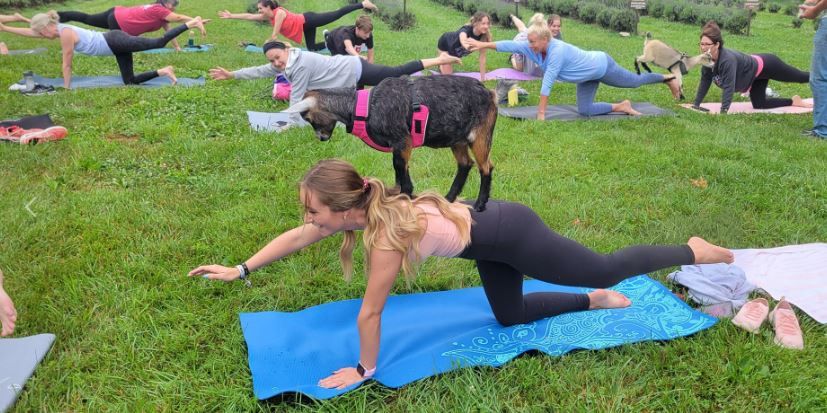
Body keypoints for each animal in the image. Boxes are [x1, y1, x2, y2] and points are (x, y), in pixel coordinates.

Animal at [288, 74, 494, 211]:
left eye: (308, 118)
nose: (321, 138)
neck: (364, 106)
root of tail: (490, 94)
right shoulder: (400, 146)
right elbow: (401, 170)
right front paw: (403, 194)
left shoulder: (402, 140)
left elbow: (399, 168)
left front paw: (406, 197)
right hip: (457, 138)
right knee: (465, 163)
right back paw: (449, 198)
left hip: (480, 136)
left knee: (486, 167)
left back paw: (480, 203)